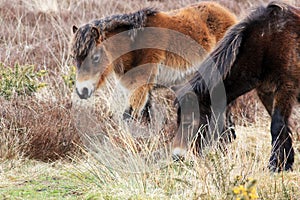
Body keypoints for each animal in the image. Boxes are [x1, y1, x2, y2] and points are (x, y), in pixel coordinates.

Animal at [70, 1, 237, 119]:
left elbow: (128, 117)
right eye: (73, 57)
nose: (81, 91)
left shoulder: (140, 88)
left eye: (95, 57)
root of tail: (228, 14)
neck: (136, 44)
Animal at [173, 0, 300, 172]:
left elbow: (277, 125)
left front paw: (275, 165)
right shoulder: (266, 92)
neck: (267, 42)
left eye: (189, 121)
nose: (177, 157)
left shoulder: (286, 88)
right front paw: (285, 163)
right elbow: (283, 127)